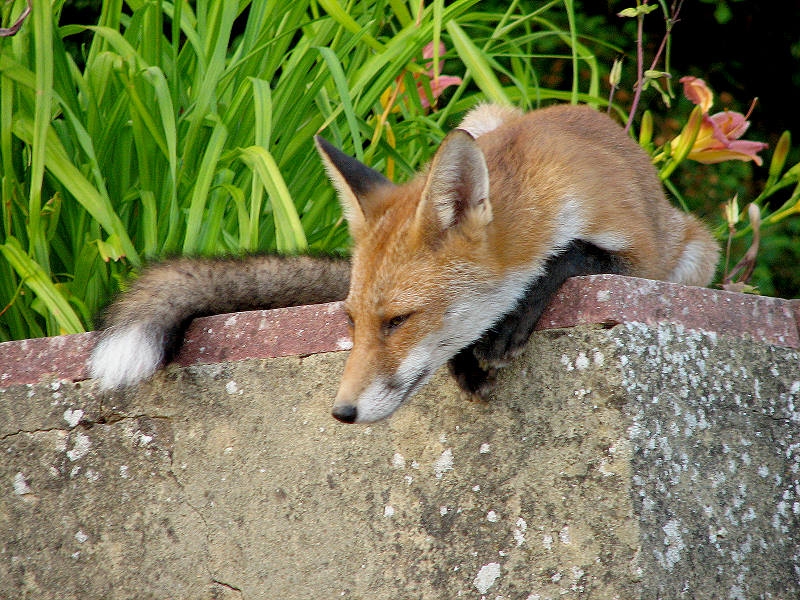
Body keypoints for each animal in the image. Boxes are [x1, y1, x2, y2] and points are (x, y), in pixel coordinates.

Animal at [89, 103, 720, 423]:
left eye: (398, 322)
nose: (341, 412)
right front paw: (467, 357)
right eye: (350, 322)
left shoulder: (650, 256)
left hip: (698, 249)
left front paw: (509, 323)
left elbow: (573, 256)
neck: (549, 187)